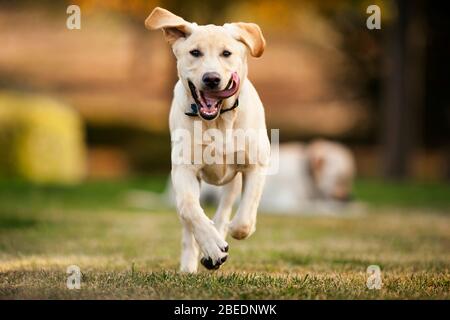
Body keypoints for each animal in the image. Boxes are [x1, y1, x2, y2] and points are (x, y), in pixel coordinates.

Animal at [146, 7, 268, 272]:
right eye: (195, 52)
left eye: (226, 53)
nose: (211, 78)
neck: (218, 122)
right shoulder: (184, 170)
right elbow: (190, 210)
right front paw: (211, 246)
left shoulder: (256, 164)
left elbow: (244, 219)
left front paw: (230, 232)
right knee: (188, 225)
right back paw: (194, 261)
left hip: (233, 181)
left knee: (225, 209)